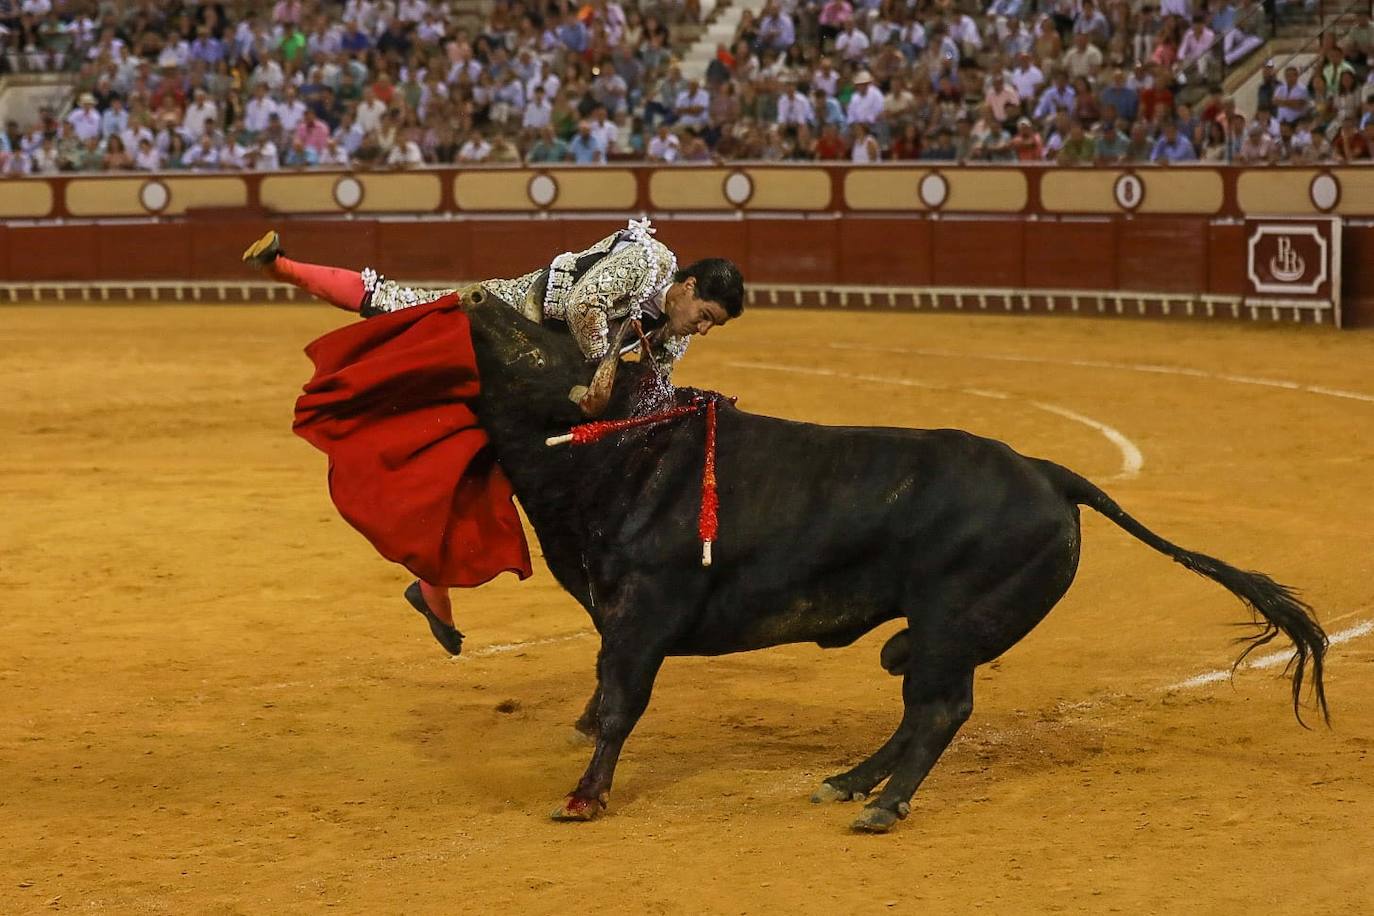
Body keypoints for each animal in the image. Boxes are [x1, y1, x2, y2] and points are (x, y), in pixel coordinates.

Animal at [461, 289, 1330, 834]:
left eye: (545, 343)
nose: (474, 299)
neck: (618, 453)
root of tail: (1047, 472)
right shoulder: (614, 616)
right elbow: (603, 697)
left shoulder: (641, 616)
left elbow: (618, 706)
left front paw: (584, 799)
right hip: (942, 631)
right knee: (920, 710)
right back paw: (849, 782)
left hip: (949, 624)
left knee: (939, 709)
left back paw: (881, 806)